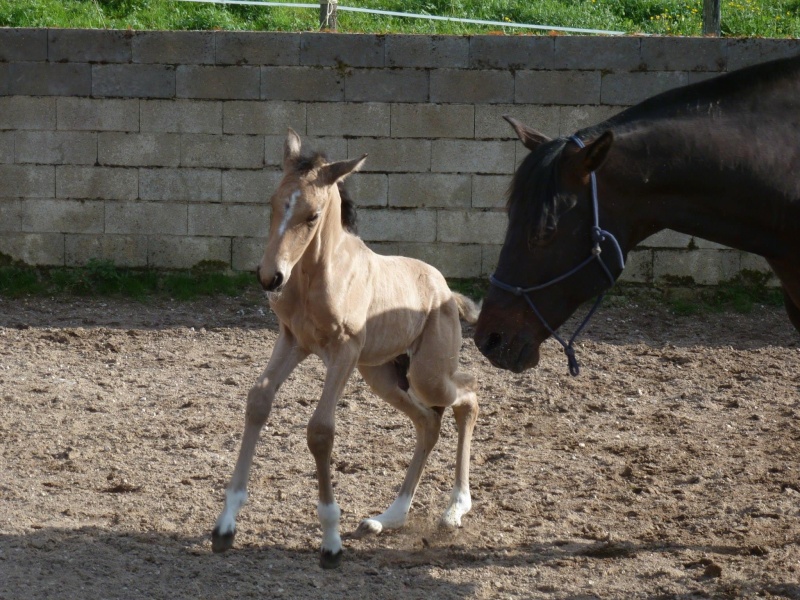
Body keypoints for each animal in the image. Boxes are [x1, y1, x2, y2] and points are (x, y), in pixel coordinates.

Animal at [209, 129, 482, 568]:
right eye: (272, 203)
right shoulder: (293, 340)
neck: (315, 276)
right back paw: (388, 517)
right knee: (427, 422)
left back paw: (455, 508)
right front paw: (225, 526)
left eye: (312, 216)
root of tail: (446, 290)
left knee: (467, 399)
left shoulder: (343, 352)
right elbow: (258, 401)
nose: (270, 278)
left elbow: (320, 430)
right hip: (381, 375)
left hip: (426, 374)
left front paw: (331, 542)